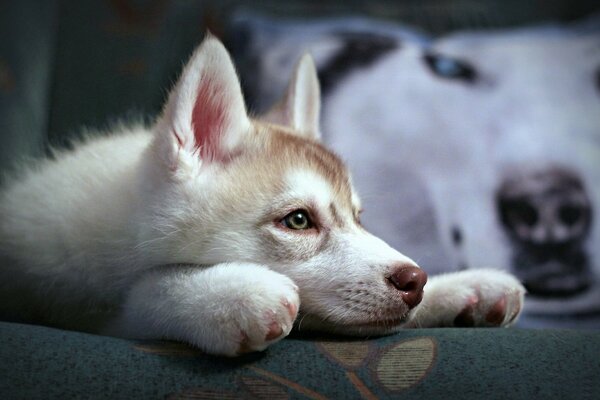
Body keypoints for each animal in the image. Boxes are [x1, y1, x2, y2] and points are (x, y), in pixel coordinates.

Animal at [0, 38, 524, 356]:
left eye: (359, 217)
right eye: (298, 220)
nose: (415, 280)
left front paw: (460, 287)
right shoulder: (63, 296)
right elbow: (142, 295)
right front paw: (227, 295)